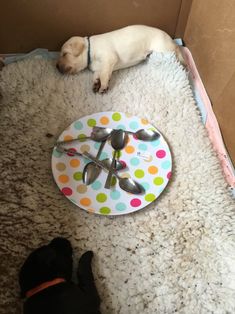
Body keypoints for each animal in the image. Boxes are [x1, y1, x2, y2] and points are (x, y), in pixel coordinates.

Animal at [57, 24, 185, 93]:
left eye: (64, 54)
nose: (56, 66)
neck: (89, 49)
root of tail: (172, 41)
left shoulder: (109, 58)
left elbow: (104, 74)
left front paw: (103, 85)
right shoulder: (99, 68)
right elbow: (98, 74)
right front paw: (96, 83)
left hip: (162, 48)